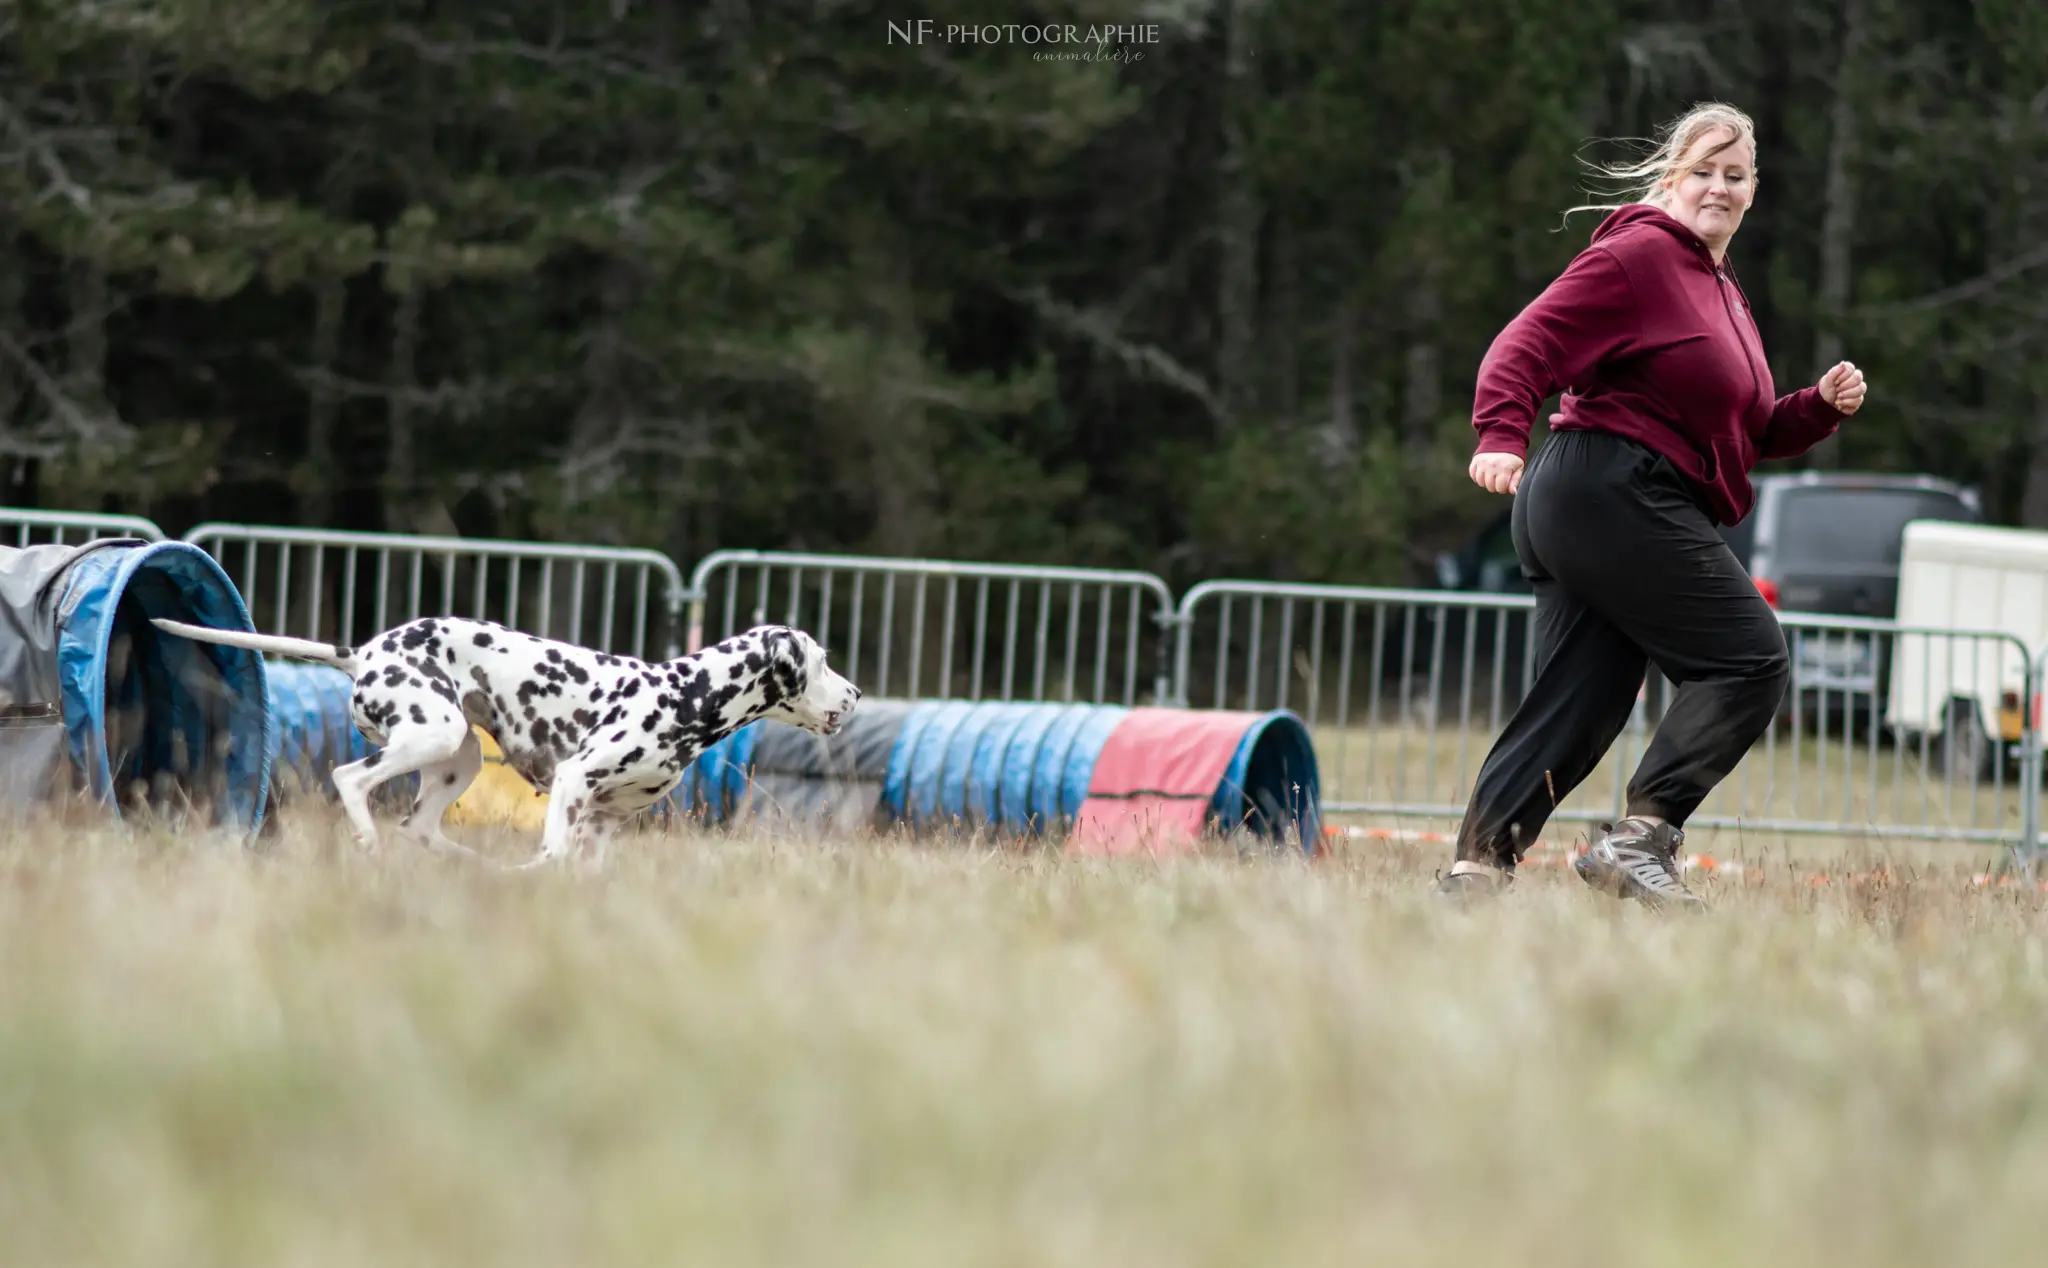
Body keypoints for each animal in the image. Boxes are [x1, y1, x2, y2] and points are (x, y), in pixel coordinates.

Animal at [149, 618, 856, 872]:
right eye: (821, 661)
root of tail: (362, 651)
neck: (684, 696)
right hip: (432, 732)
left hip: (456, 757)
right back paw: (369, 843)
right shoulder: (573, 783)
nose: (852, 694)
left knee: (422, 829)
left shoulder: (605, 820)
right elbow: (552, 853)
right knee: (352, 779)